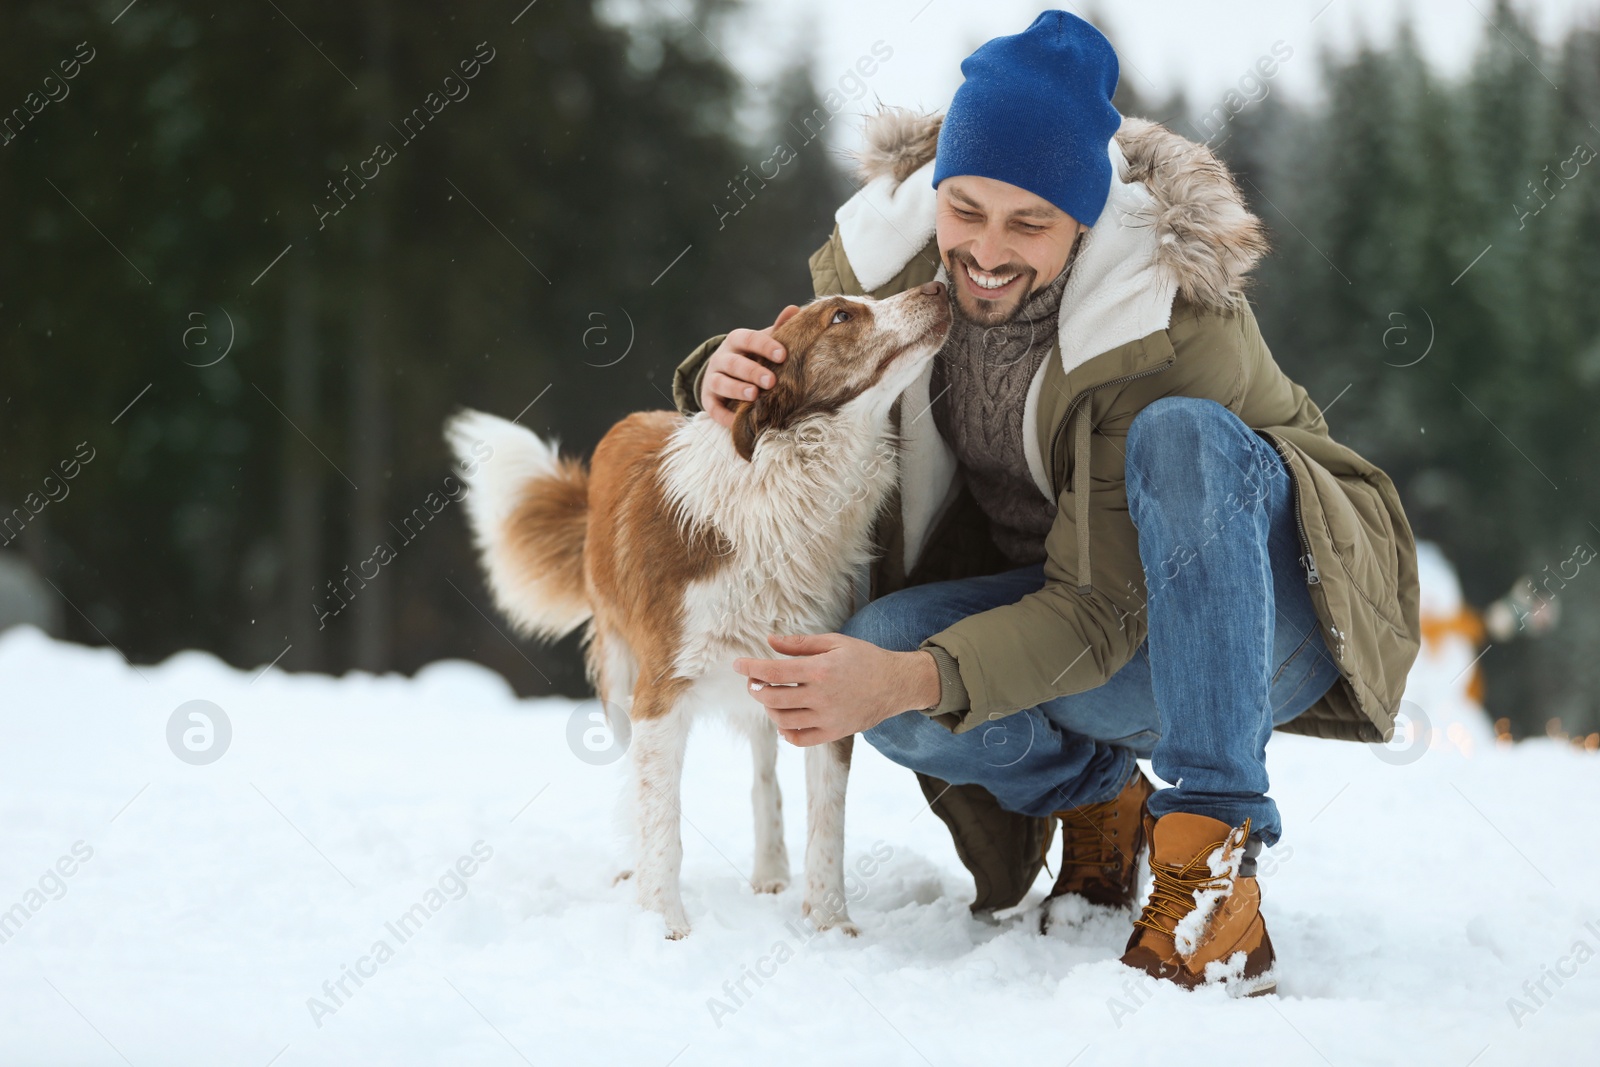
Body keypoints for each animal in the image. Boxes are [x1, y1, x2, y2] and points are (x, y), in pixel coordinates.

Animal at [444, 279, 947, 940]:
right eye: (841, 315)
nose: (938, 285)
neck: (784, 492)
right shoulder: (660, 692)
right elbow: (662, 820)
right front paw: (664, 925)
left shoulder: (824, 678)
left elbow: (827, 823)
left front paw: (830, 924)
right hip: (620, 675)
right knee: (633, 785)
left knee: (764, 775)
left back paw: (769, 872)